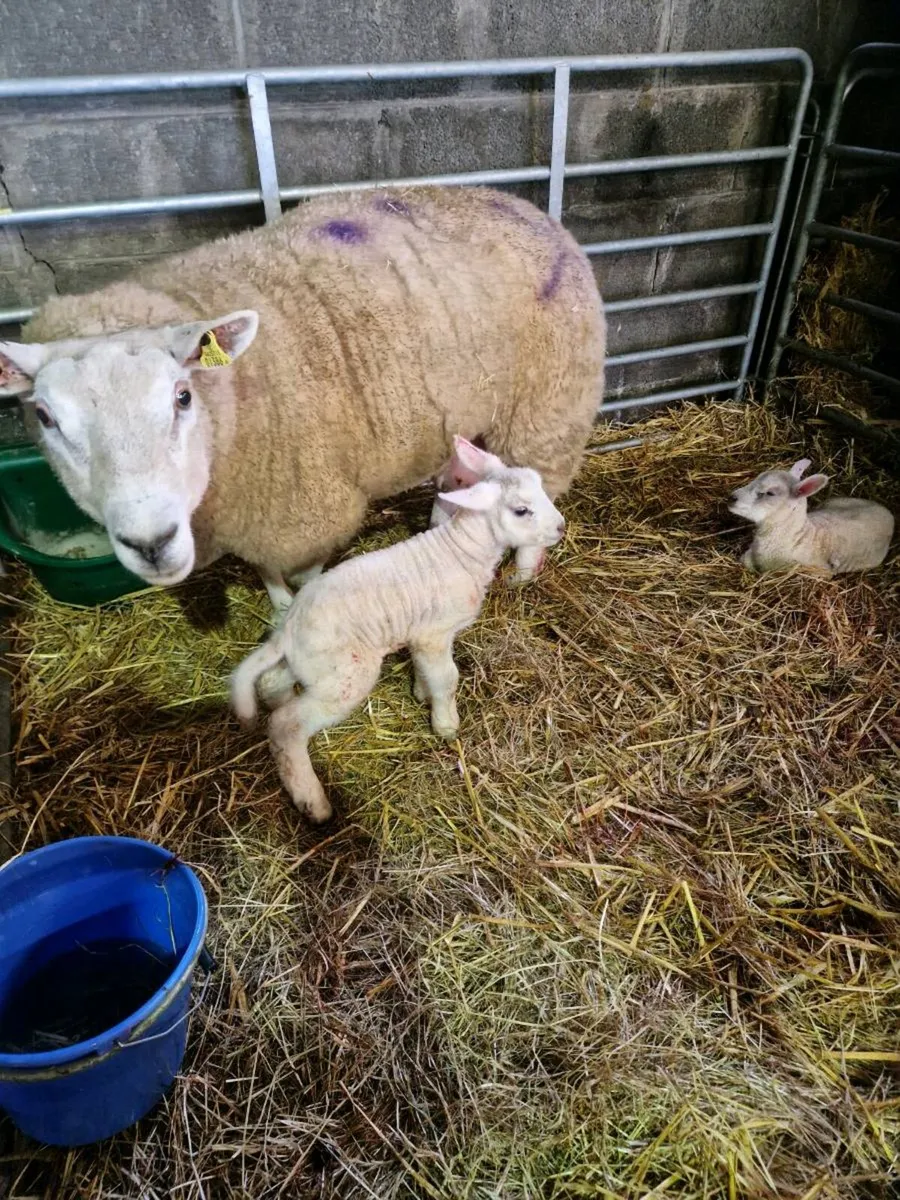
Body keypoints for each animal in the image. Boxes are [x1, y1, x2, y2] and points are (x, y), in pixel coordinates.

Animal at [0, 187, 605, 615]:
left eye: (182, 396)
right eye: (45, 417)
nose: (152, 542)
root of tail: (523, 205)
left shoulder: (308, 510)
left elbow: (305, 573)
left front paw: (294, 610)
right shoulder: (261, 513)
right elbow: (268, 573)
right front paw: (277, 606)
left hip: (550, 407)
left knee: (538, 487)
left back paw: (524, 572)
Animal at [229, 438, 565, 823]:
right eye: (521, 510)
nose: (561, 528)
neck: (462, 551)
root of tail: (289, 628)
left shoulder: (420, 635)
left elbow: (425, 671)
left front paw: (421, 694)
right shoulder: (434, 634)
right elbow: (446, 679)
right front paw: (446, 725)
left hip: (312, 663)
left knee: (272, 683)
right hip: (346, 676)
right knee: (287, 727)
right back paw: (312, 801)